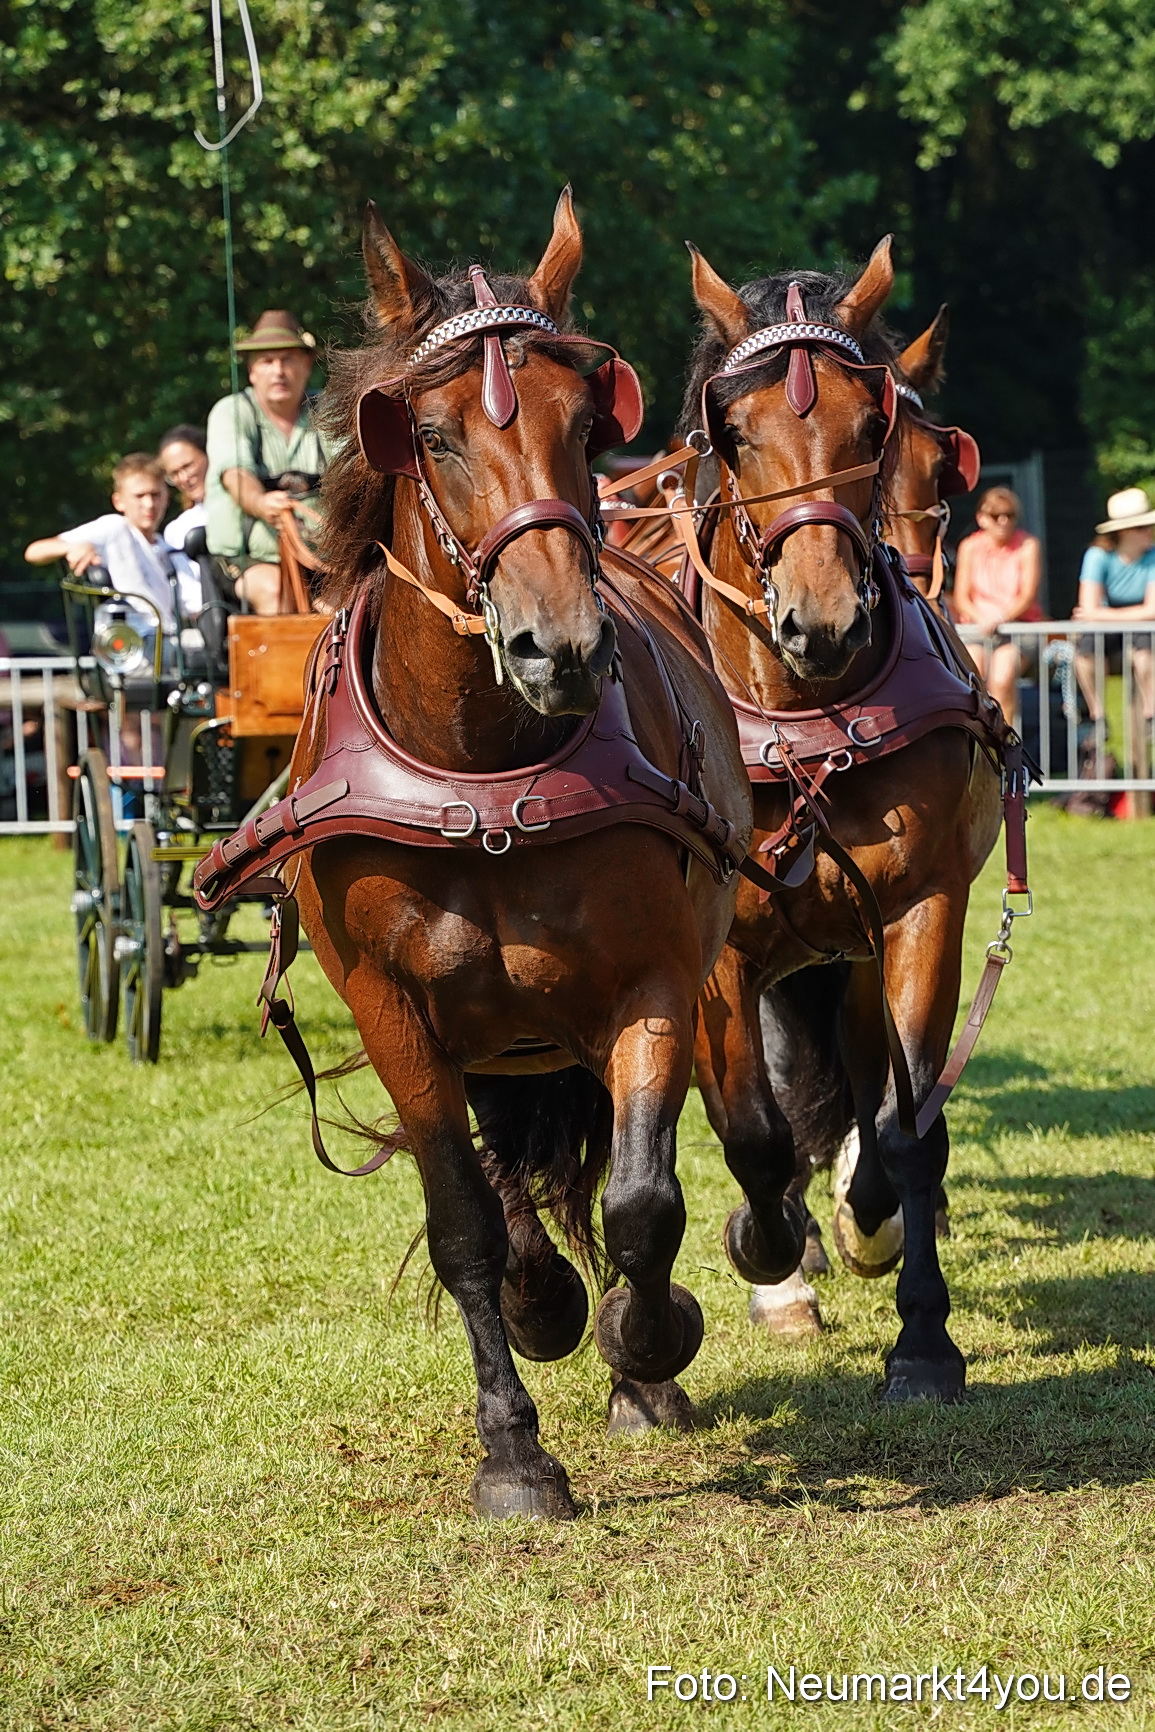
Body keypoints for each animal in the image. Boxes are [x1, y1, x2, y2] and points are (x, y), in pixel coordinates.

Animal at [196, 191, 754, 1519]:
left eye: (584, 422)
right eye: (436, 438)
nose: (561, 646)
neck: (483, 774)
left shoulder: (653, 984)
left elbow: (644, 1203)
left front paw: (649, 1340)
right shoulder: (392, 1006)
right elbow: (463, 1225)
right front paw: (513, 1444)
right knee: (506, 1185)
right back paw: (542, 1297)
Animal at [679, 238, 1017, 1401]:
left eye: (876, 432)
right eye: (728, 433)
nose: (821, 621)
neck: (805, 722)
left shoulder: (919, 915)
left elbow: (905, 1127)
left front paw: (920, 1329)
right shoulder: (724, 956)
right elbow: (754, 1130)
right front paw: (769, 1256)